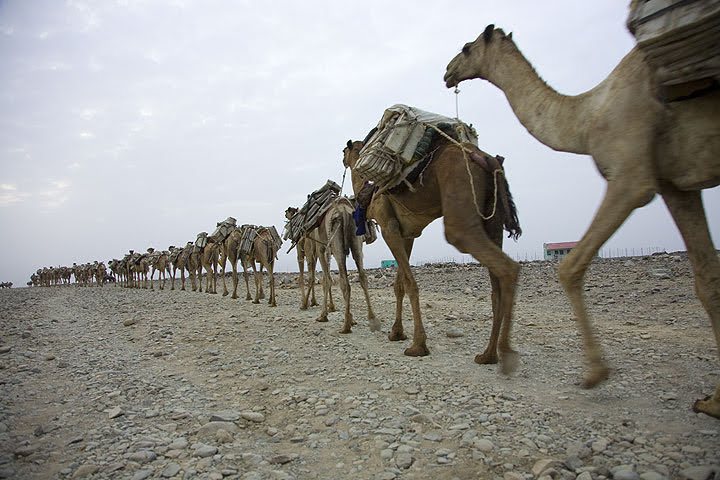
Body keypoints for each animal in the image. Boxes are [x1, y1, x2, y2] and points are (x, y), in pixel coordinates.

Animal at [344, 135, 524, 372]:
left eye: (344, 152)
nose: (344, 160)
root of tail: (486, 158)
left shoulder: (388, 227)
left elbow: (410, 284)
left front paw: (418, 345)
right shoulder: (407, 234)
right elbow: (399, 285)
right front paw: (396, 333)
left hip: (460, 206)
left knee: (506, 266)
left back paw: (506, 355)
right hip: (492, 220)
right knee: (496, 287)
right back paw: (488, 355)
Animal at [444, 24, 720, 418]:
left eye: (467, 47)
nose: (448, 71)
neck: (589, 114)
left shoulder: (632, 176)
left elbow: (569, 266)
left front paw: (594, 372)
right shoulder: (675, 185)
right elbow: (707, 278)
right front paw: (713, 401)